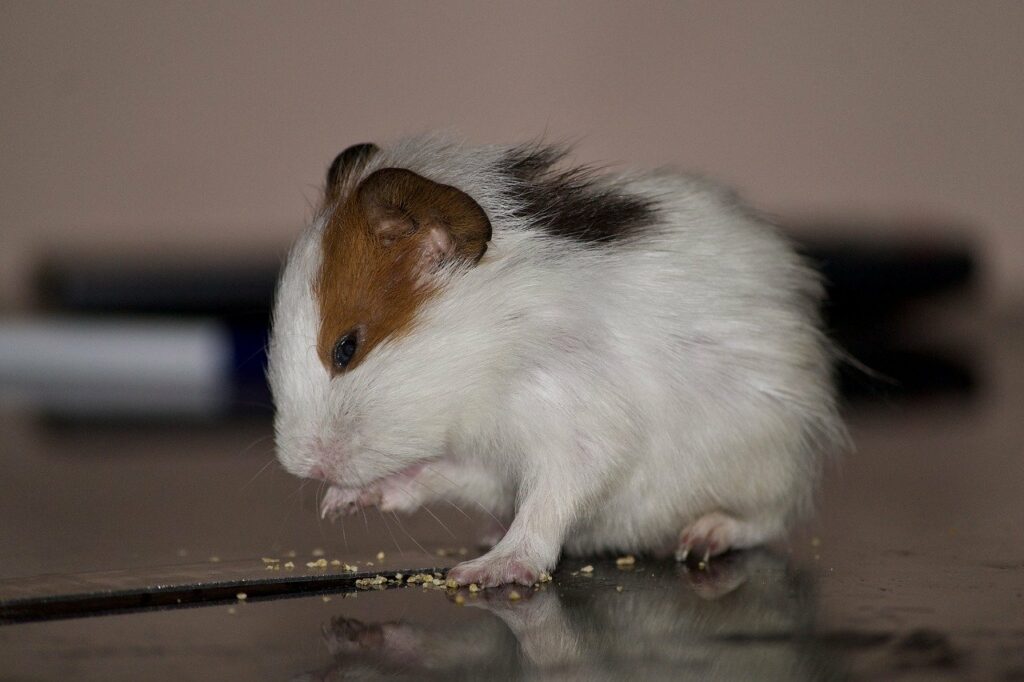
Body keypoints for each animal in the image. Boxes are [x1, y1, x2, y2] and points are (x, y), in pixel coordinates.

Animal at [267, 134, 846, 587]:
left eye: (347, 347)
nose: (301, 466)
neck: (491, 354)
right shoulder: (486, 459)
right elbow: (433, 475)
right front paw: (340, 503)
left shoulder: (579, 432)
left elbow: (546, 507)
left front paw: (484, 572)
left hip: (771, 465)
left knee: (766, 522)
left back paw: (701, 538)